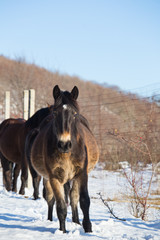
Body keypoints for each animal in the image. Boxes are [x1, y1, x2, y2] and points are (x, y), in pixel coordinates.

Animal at [27, 86, 99, 232]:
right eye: (55, 113)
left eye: (74, 113)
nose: (64, 144)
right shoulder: (54, 177)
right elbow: (60, 207)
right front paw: (63, 231)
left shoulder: (82, 174)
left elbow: (84, 201)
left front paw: (88, 228)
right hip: (49, 179)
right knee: (51, 199)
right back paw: (50, 220)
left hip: (74, 178)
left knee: (73, 197)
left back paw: (77, 222)